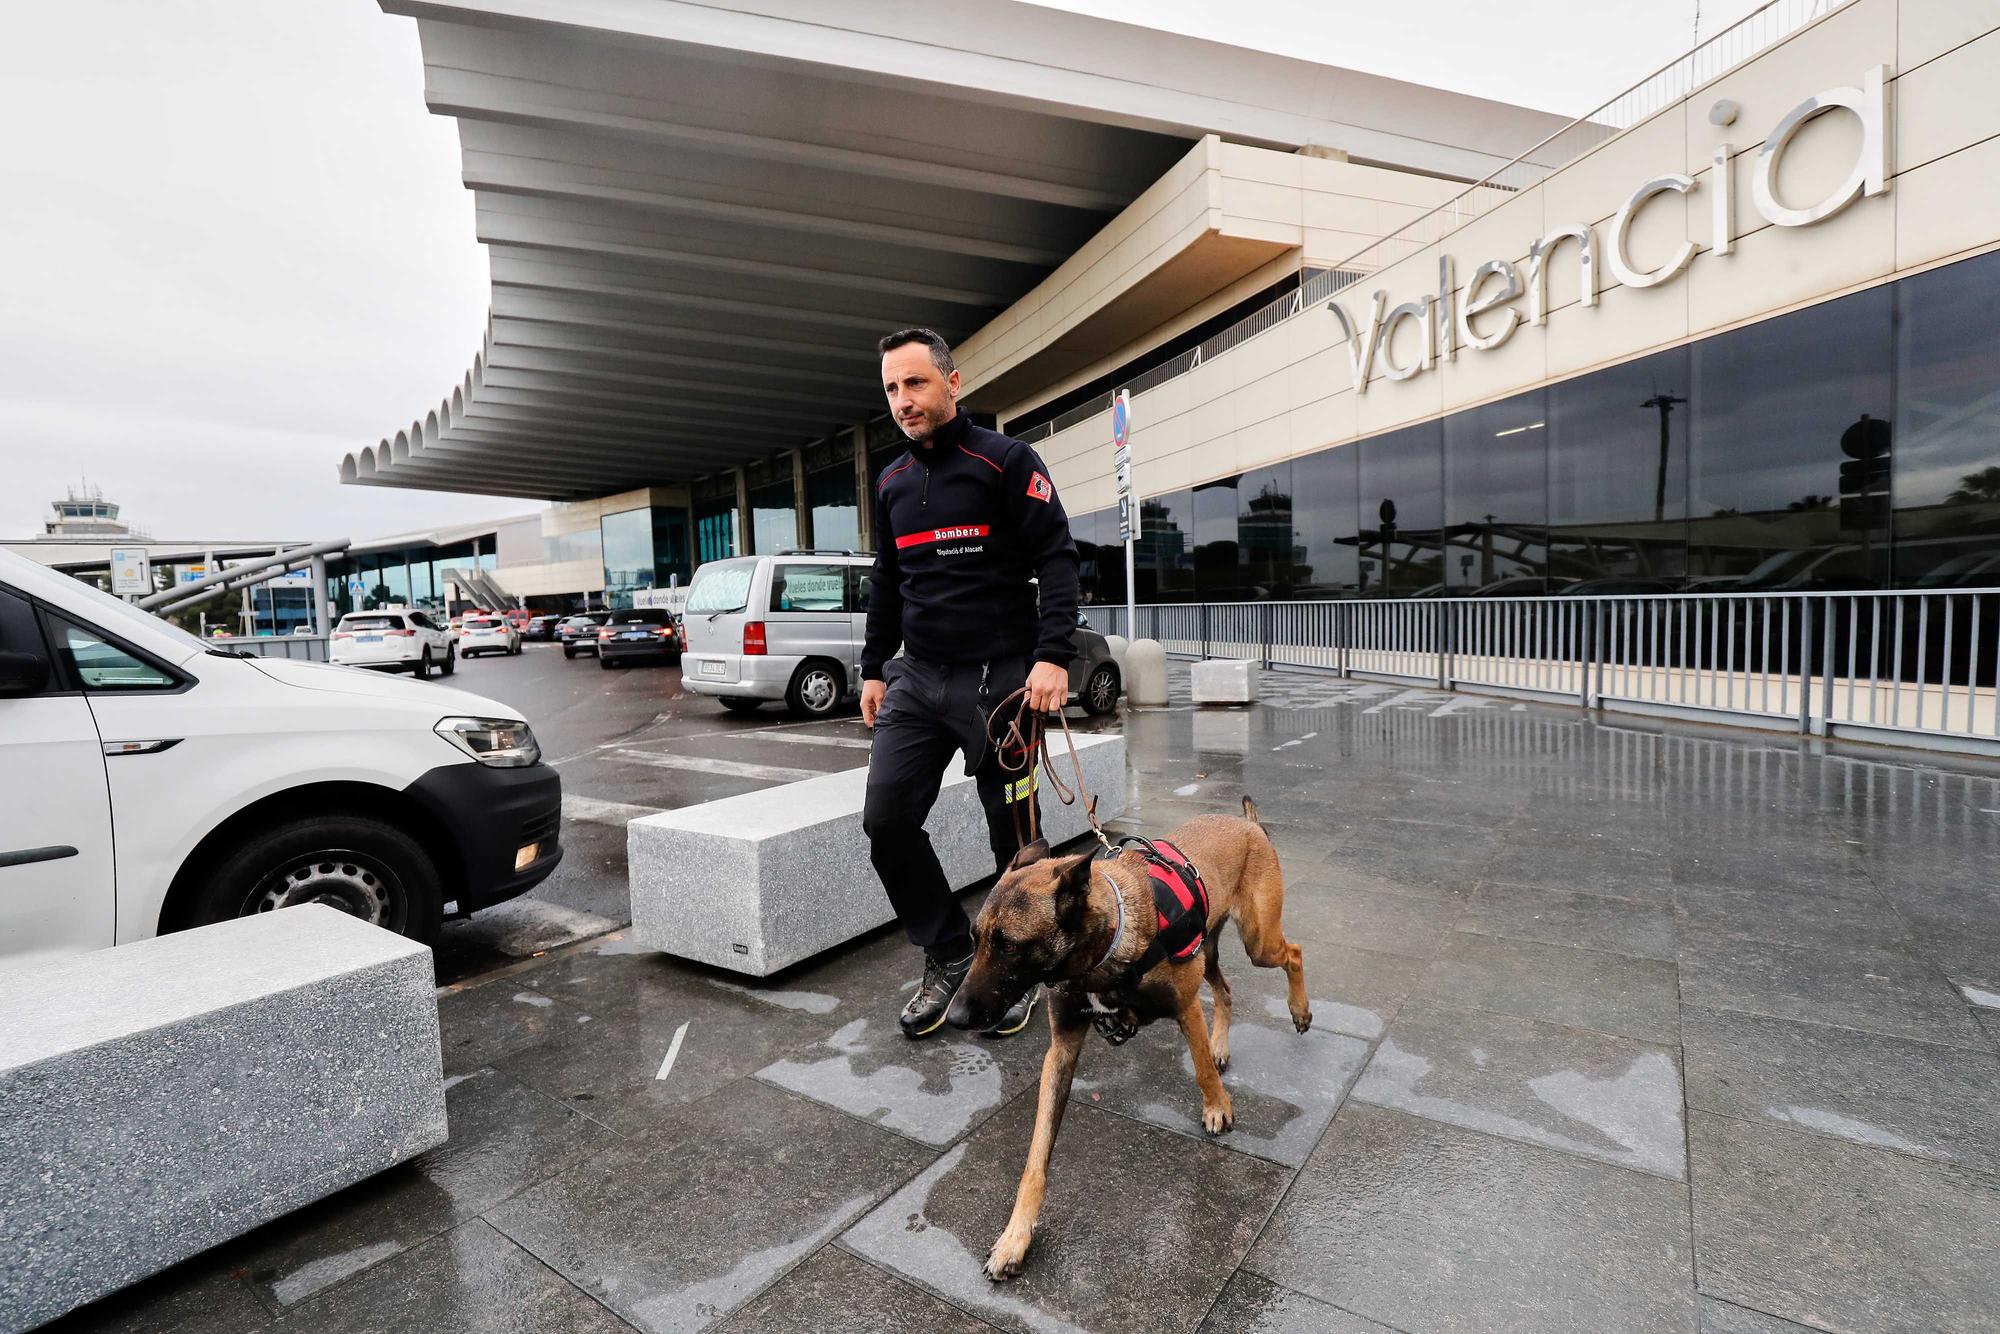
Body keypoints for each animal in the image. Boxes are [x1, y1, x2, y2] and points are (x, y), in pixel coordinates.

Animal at [940, 800, 1304, 1280]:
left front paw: (1216, 1107)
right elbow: (1036, 1156)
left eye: (1010, 947)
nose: (956, 1017)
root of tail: (1247, 823)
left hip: (1258, 942)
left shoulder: (1186, 1009)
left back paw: (1299, 1010)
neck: (1105, 950)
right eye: (975, 939)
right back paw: (1223, 1045)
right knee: (1225, 991)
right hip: (1210, 949)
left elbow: (1201, 1069)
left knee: (1293, 954)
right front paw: (1015, 1236)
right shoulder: (1061, 1051)